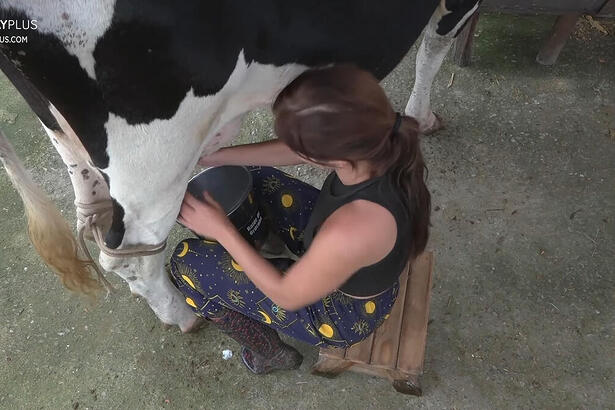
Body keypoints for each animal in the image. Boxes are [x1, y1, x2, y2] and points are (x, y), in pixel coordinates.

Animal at [0, 0, 482, 334]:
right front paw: (420, 117)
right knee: (132, 256)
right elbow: (434, 48)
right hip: (155, 155)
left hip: (68, 138)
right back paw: (183, 316)